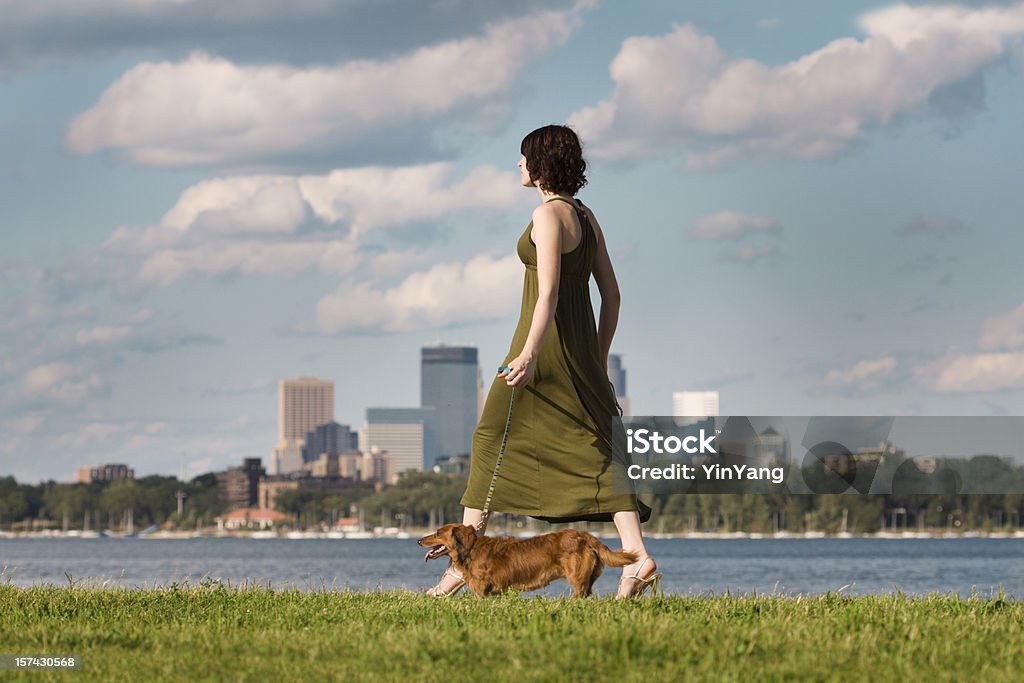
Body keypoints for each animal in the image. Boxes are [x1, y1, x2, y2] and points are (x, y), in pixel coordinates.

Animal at [419, 524, 634, 598]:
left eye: (437, 532)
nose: (419, 540)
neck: (471, 548)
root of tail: (587, 536)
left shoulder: (481, 589)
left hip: (577, 576)